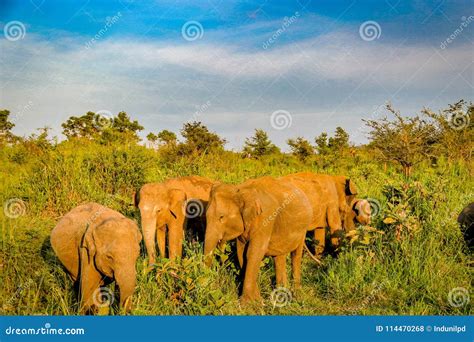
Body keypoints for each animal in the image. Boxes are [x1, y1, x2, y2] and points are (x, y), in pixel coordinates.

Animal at [203, 176, 312, 304]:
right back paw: (282, 295)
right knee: (279, 256)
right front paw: (258, 300)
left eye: (221, 217)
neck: (240, 190)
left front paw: (248, 304)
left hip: (303, 230)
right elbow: (242, 253)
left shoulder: (266, 219)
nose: (211, 286)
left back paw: (296, 295)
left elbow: (254, 252)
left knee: (296, 254)